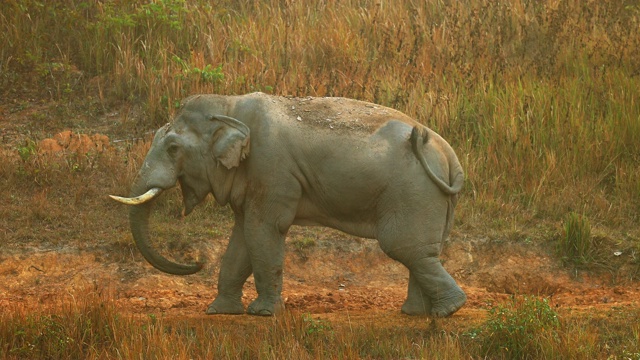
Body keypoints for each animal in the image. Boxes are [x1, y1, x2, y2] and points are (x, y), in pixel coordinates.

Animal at [111, 93, 464, 318]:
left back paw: (449, 310)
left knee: (404, 247)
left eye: (173, 148)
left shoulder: (271, 167)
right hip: (428, 195)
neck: (229, 104)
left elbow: (262, 231)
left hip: (412, 191)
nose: (197, 262)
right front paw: (219, 311)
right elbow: (242, 237)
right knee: (421, 251)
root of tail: (449, 154)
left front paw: (263, 313)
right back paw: (418, 313)